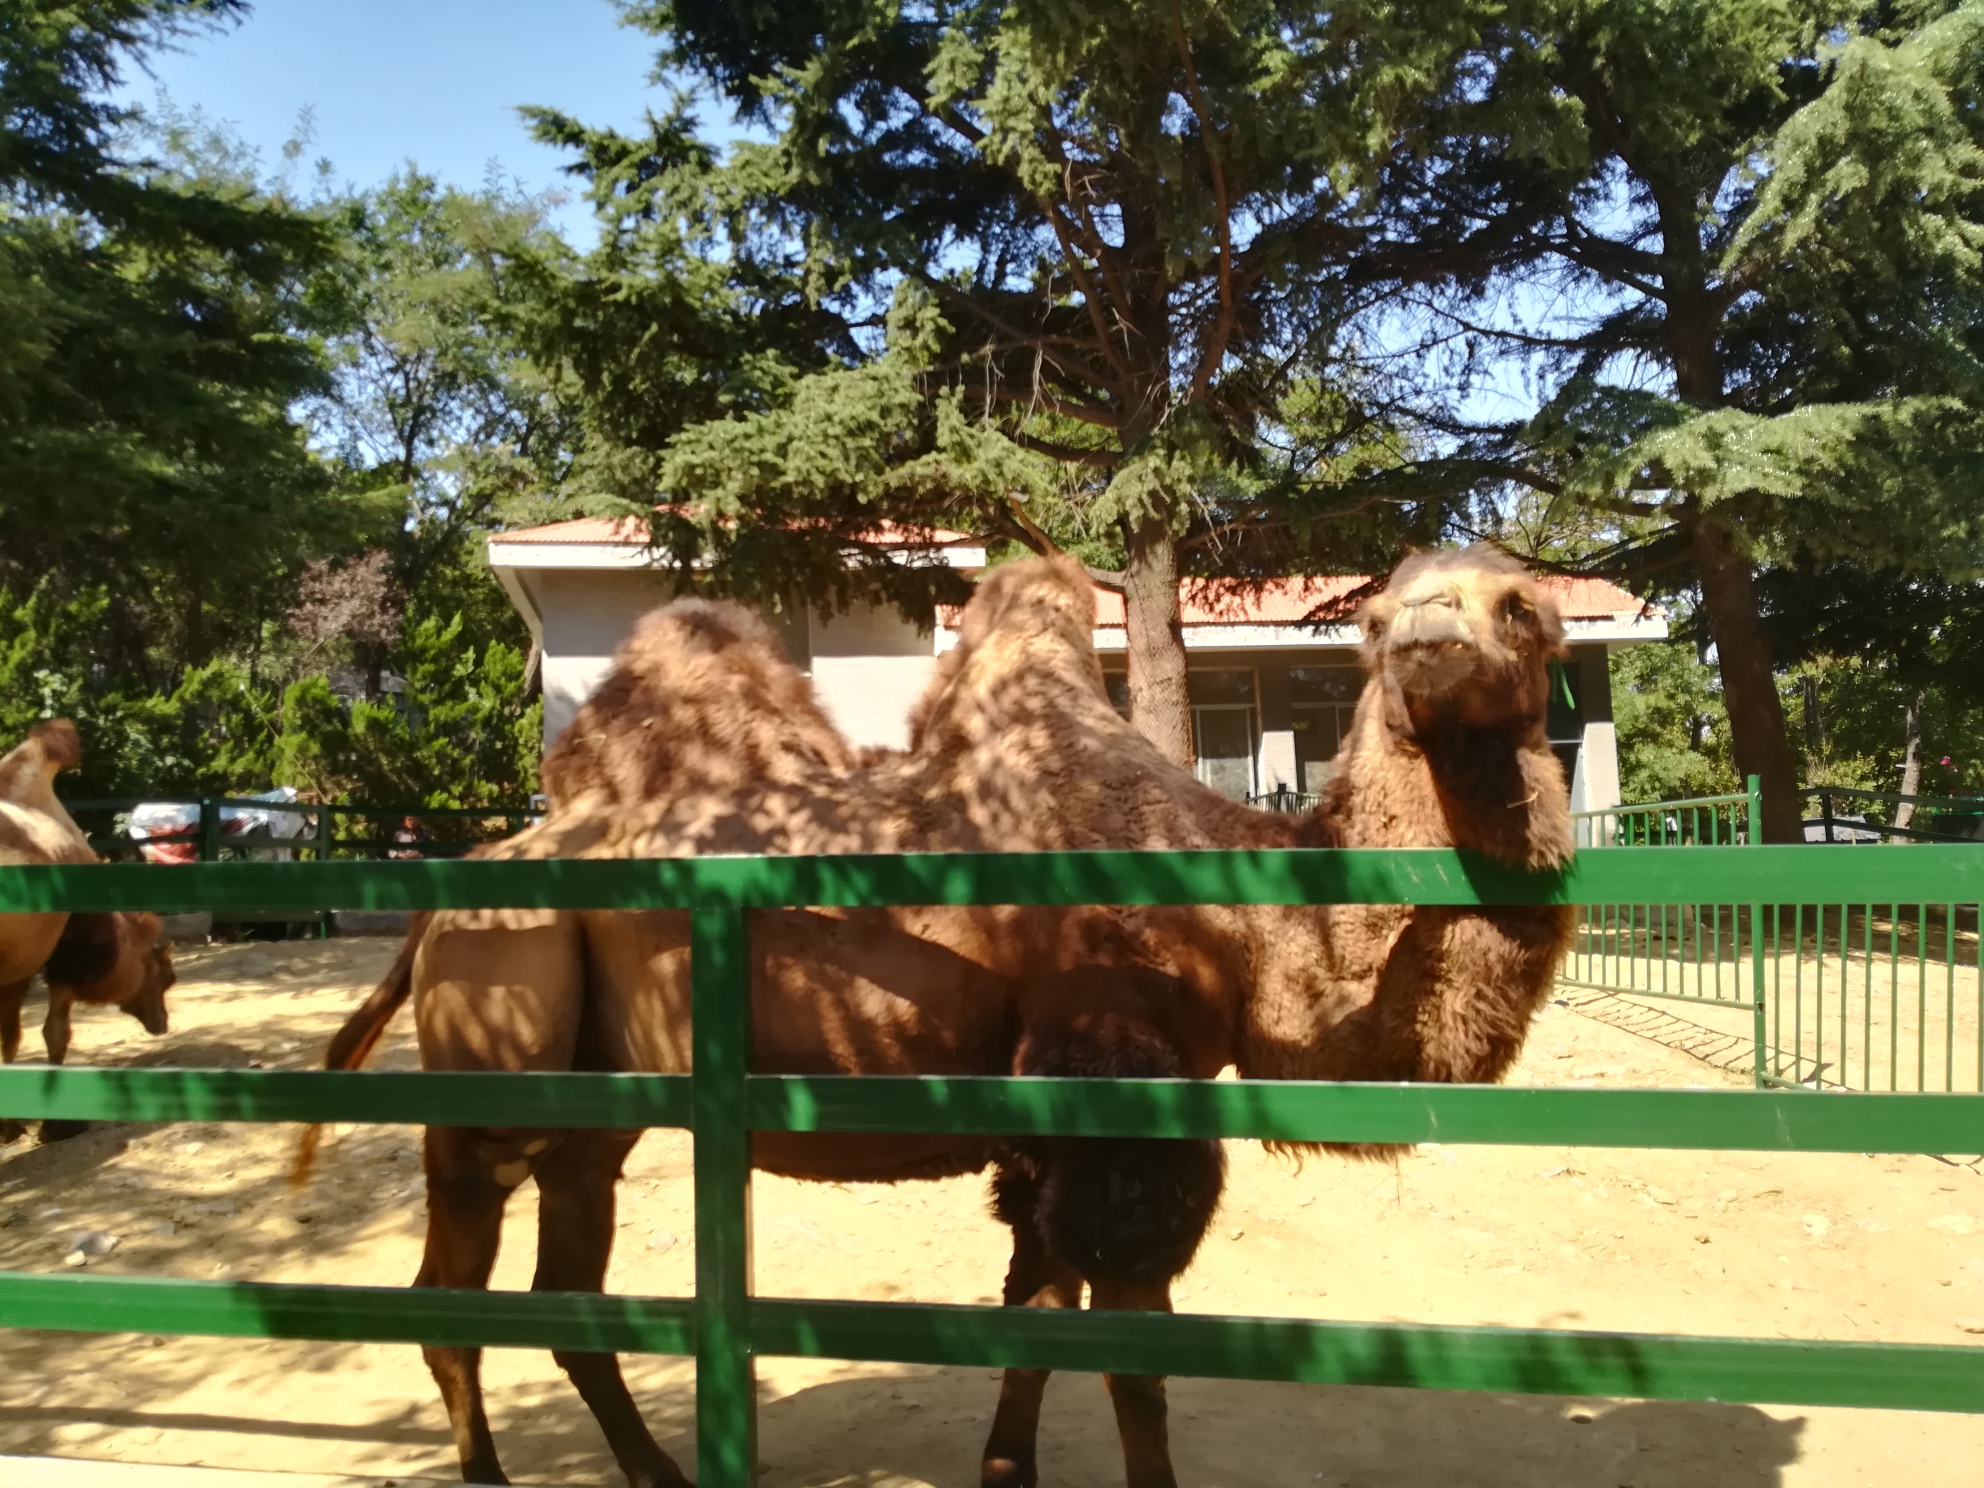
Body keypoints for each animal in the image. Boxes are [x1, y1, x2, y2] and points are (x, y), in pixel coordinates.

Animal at [309, 547, 1571, 1488]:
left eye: (1523, 608)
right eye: (1378, 620)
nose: (1430, 642)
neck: (1243, 922)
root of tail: (451, 894)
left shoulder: (1055, 1125)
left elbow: (1038, 1312)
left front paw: (1005, 1469)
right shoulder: (1118, 1096)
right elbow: (1132, 1352)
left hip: (594, 1106)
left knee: (565, 1286)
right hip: (496, 1031)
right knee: (448, 1285)